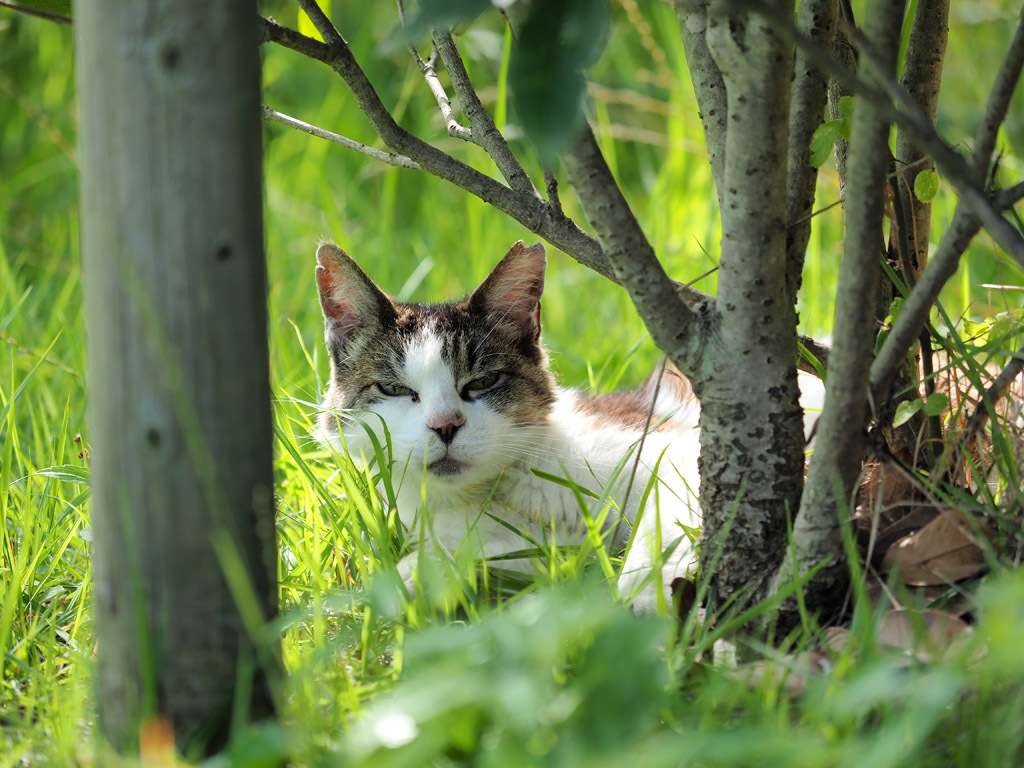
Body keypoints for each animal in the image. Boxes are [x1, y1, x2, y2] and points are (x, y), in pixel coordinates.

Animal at [313, 240, 704, 614]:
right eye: (393, 389)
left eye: (483, 381)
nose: (445, 425)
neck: (498, 486)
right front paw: (408, 579)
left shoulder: (672, 448)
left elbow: (659, 527)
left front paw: (648, 599)